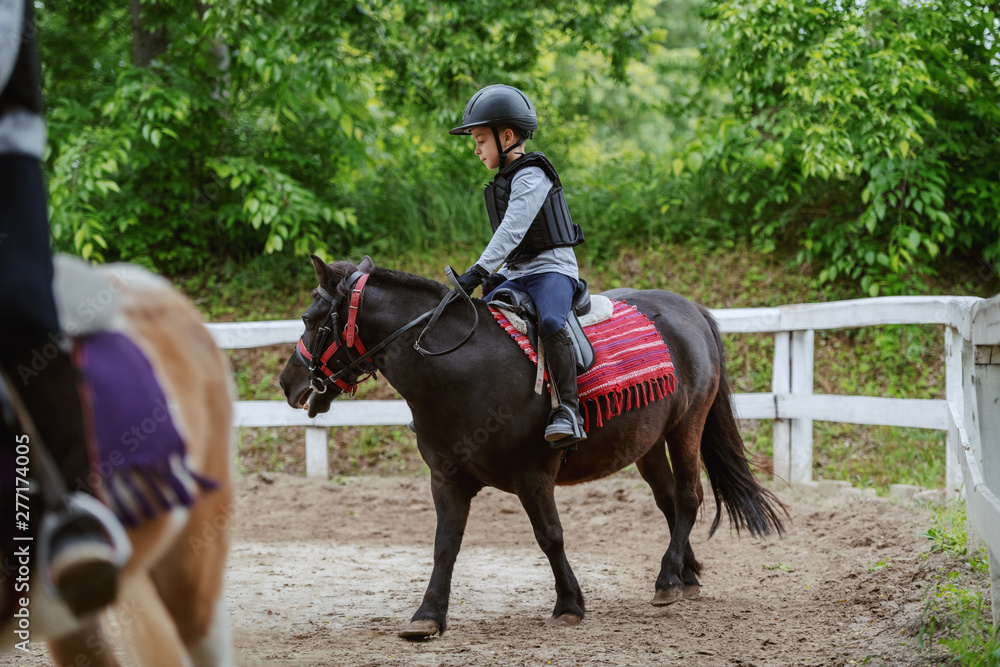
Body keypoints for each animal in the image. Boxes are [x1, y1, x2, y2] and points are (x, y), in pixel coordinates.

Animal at [279, 256, 787, 639]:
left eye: (309, 319)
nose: (288, 382)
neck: (461, 369)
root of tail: (690, 308)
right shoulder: (447, 480)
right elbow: (445, 546)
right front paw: (427, 617)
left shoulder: (532, 477)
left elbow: (550, 536)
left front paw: (569, 604)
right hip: (647, 442)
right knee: (669, 502)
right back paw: (686, 574)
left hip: (686, 427)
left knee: (688, 497)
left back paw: (667, 578)